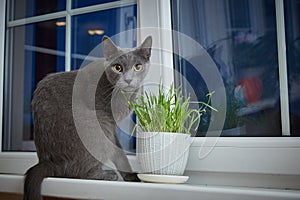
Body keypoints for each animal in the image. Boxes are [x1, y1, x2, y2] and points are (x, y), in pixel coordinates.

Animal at [23, 35, 152, 199]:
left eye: (138, 66)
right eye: (117, 67)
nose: (128, 80)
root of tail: (50, 162)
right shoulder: (110, 123)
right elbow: (119, 152)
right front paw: (131, 176)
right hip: (99, 125)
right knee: (78, 172)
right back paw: (107, 174)